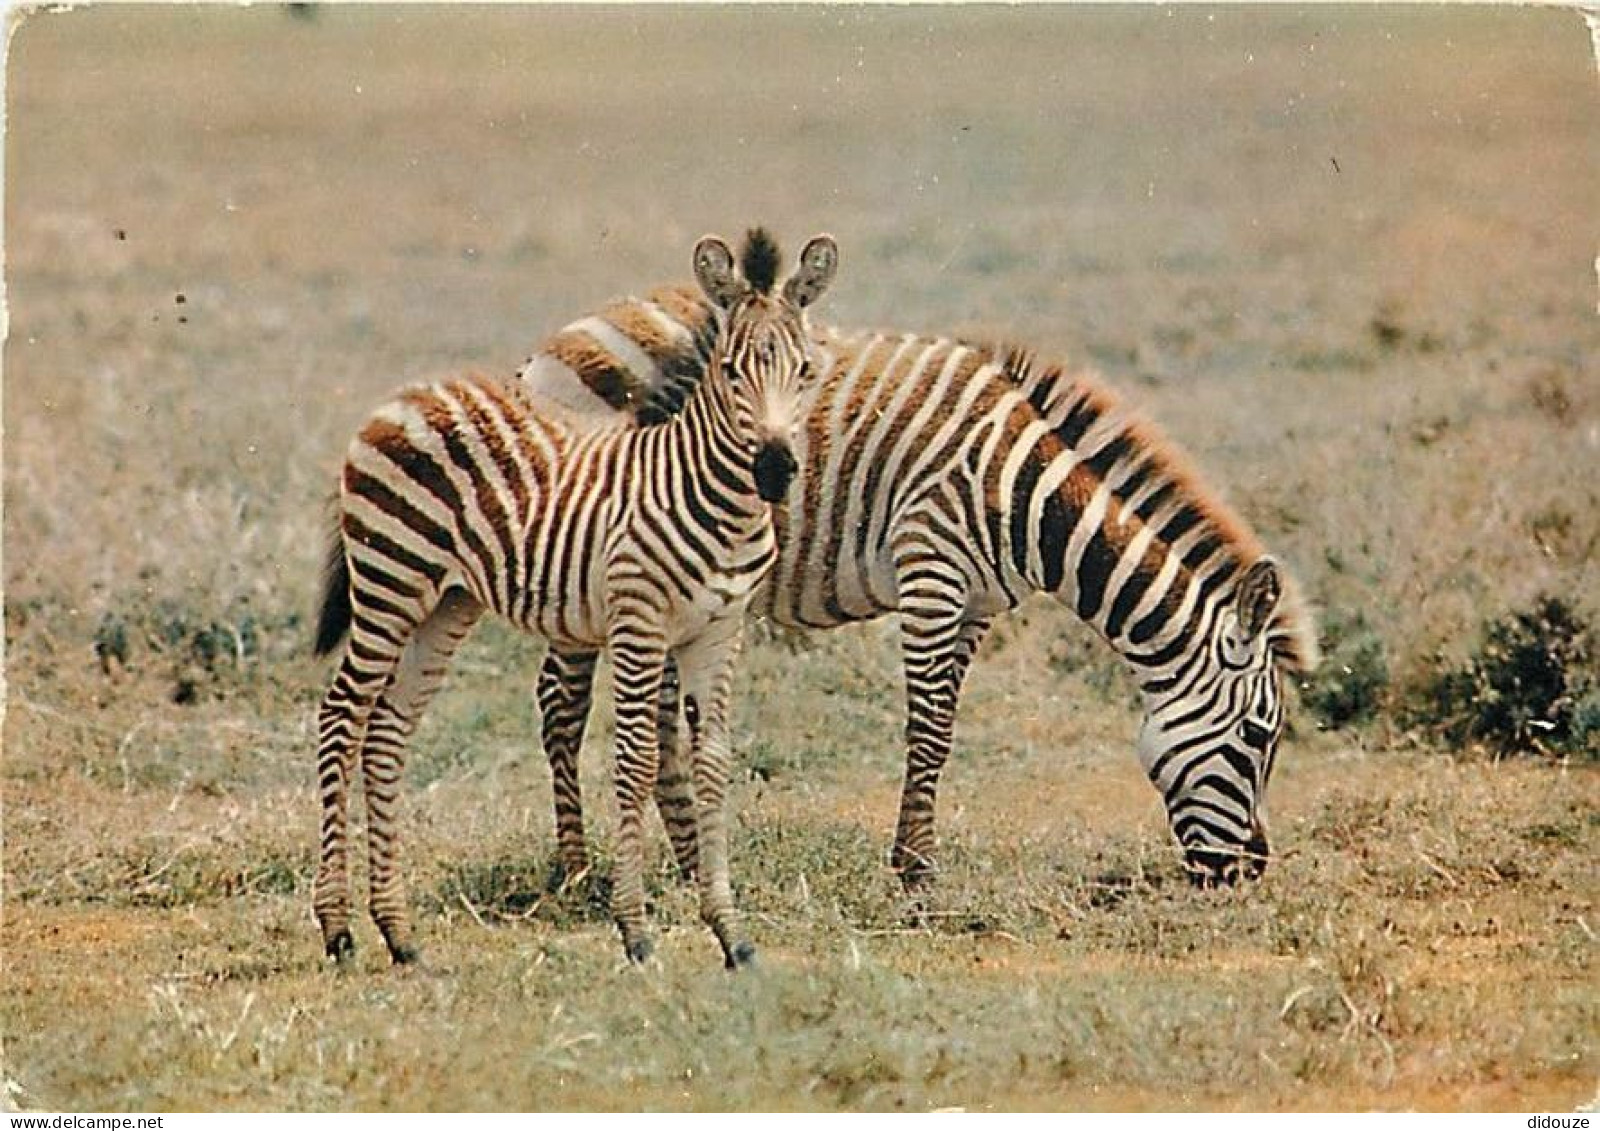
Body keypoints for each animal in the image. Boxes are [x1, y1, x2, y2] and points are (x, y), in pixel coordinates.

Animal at [305, 227, 844, 966]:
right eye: (733, 371)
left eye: (806, 371)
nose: (774, 468)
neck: (713, 499)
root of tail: (401, 397)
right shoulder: (638, 622)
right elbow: (639, 759)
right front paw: (636, 930)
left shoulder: (718, 631)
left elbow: (712, 762)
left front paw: (731, 934)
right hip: (392, 577)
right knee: (341, 718)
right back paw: (338, 927)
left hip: (446, 602)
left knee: (387, 730)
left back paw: (400, 933)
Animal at [518, 287, 1318, 895]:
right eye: (1258, 736)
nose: (1249, 871)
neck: (1025, 493)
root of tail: (557, 341)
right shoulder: (931, 570)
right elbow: (928, 728)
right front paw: (914, 871)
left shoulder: (977, 605)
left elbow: (948, 726)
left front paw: (914, 860)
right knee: (561, 703)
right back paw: (574, 870)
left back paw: (686, 865)